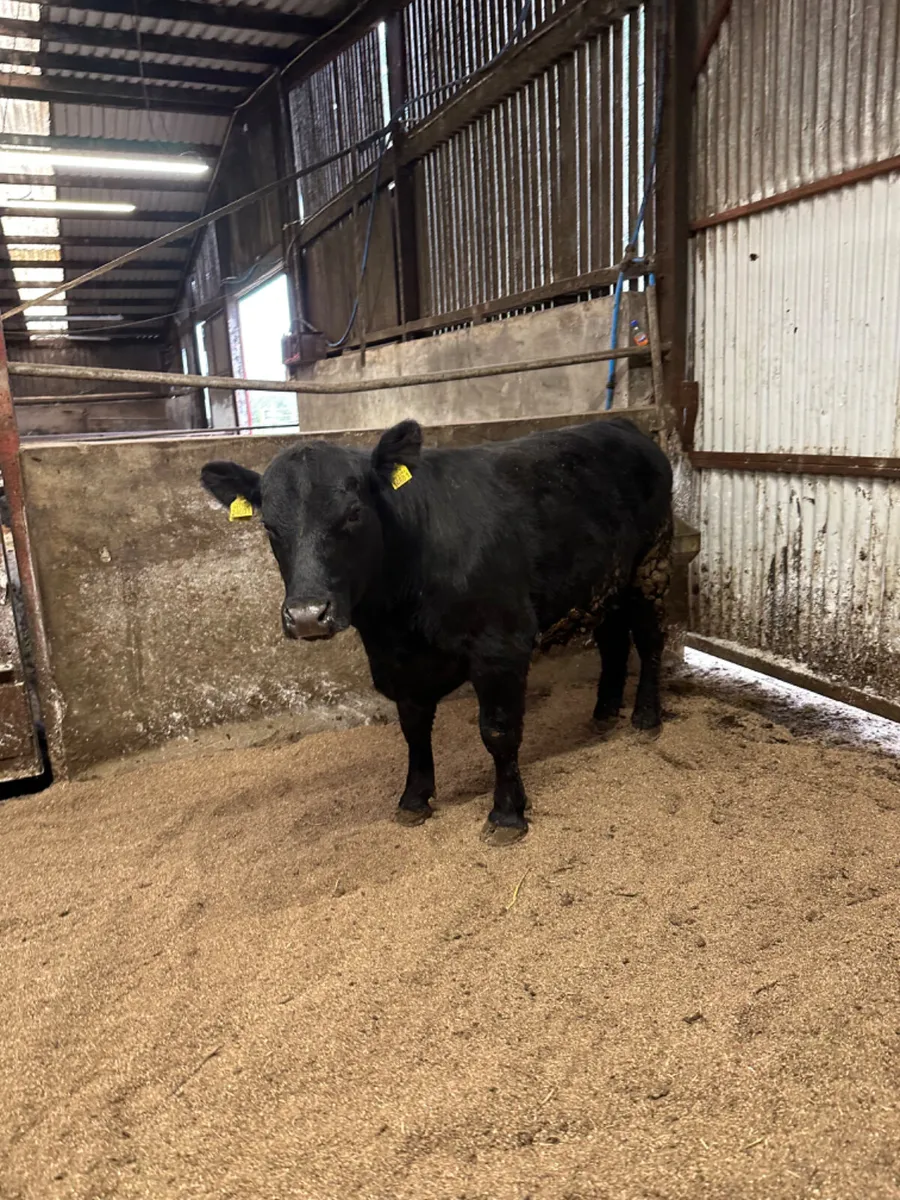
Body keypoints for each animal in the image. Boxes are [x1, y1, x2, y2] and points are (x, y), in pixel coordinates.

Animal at [201, 417, 673, 844]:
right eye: (268, 525)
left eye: (353, 513)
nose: (306, 615)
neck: (398, 616)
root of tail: (622, 425)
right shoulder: (397, 663)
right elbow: (413, 729)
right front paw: (414, 799)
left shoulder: (501, 646)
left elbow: (499, 731)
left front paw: (507, 814)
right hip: (605, 581)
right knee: (613, 640)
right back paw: (604, 713)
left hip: (651, 563)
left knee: (651, 638)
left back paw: (646, 717)